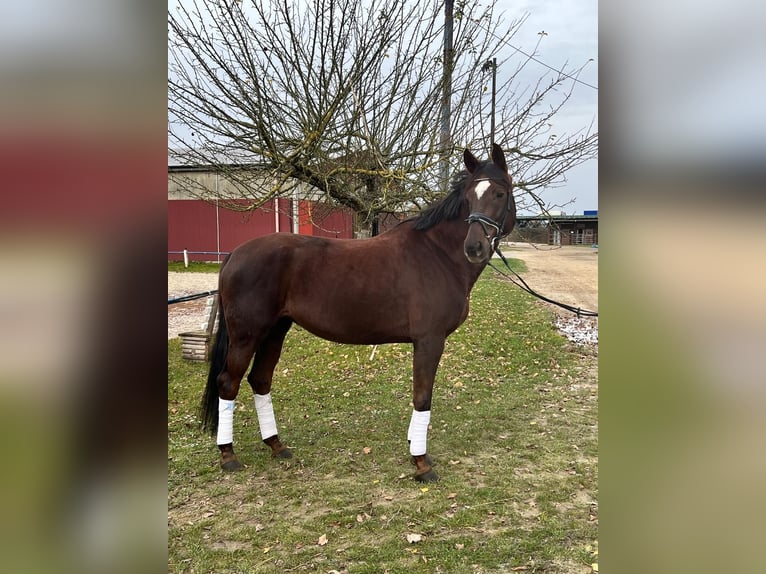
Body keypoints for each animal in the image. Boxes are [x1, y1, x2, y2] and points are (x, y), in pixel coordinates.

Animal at [200, 144, 516, 482]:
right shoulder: (429, 340)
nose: (474, 248)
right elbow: (422, 397)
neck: (438, 254)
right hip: (246, 336)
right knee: (228, 383)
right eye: (469, 197)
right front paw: (421, 463)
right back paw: (228, 455)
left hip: (275, 331)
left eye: (499, 193)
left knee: (260, 380)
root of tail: (235, 254)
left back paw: (276, 445)